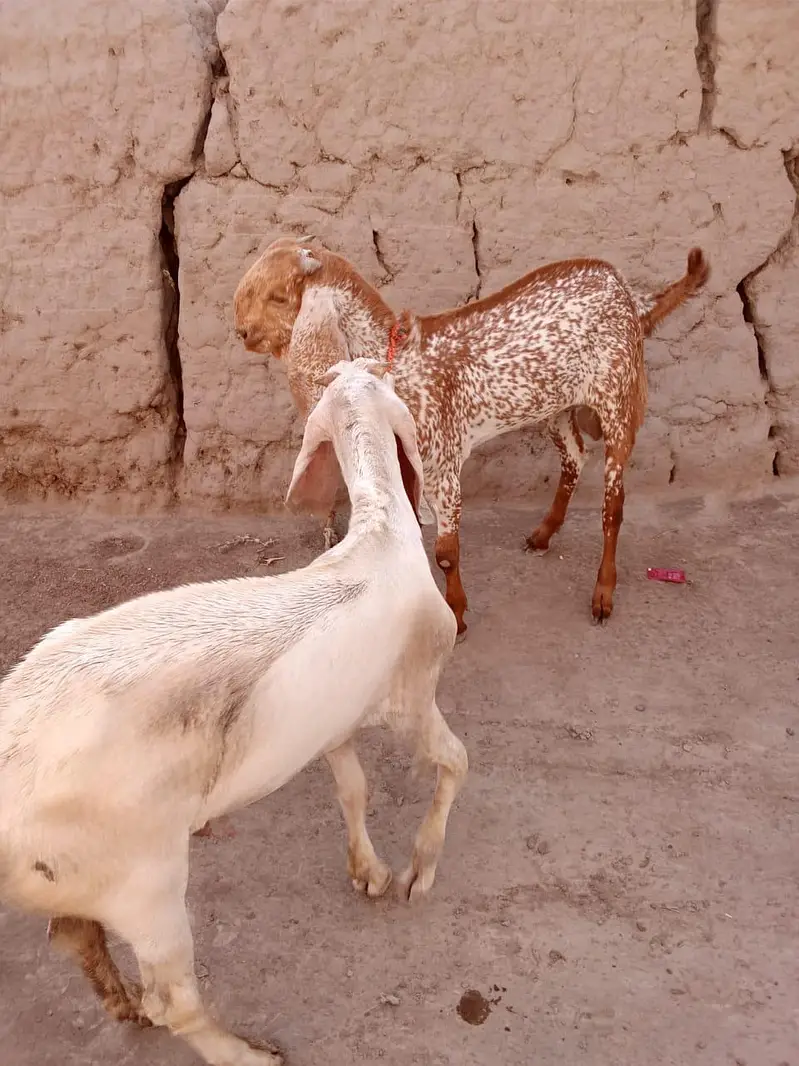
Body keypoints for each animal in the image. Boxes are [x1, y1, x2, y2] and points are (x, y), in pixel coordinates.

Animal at [0, 358, 467, 1066]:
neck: (381, 536)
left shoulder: (330, 724)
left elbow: (353, 790)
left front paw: (370, 872)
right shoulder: (414, 696)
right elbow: (455, 763)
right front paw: (421, 868)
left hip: (78, 876)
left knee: (72, 936)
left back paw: (119, 1003)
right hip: (144, 881)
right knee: (173, 1002)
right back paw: (247, 1053)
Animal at [234, 237, 710, 635]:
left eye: (279, 296)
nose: (242, 332)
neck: (397, 364)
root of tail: (629, 292)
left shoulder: (442, 463)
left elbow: (446, 551)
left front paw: (457, 616)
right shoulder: (406, 461)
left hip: (618, 399)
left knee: (614, 505)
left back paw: (603, 594)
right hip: (555, 405)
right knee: (574, 457)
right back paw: (543, 534)